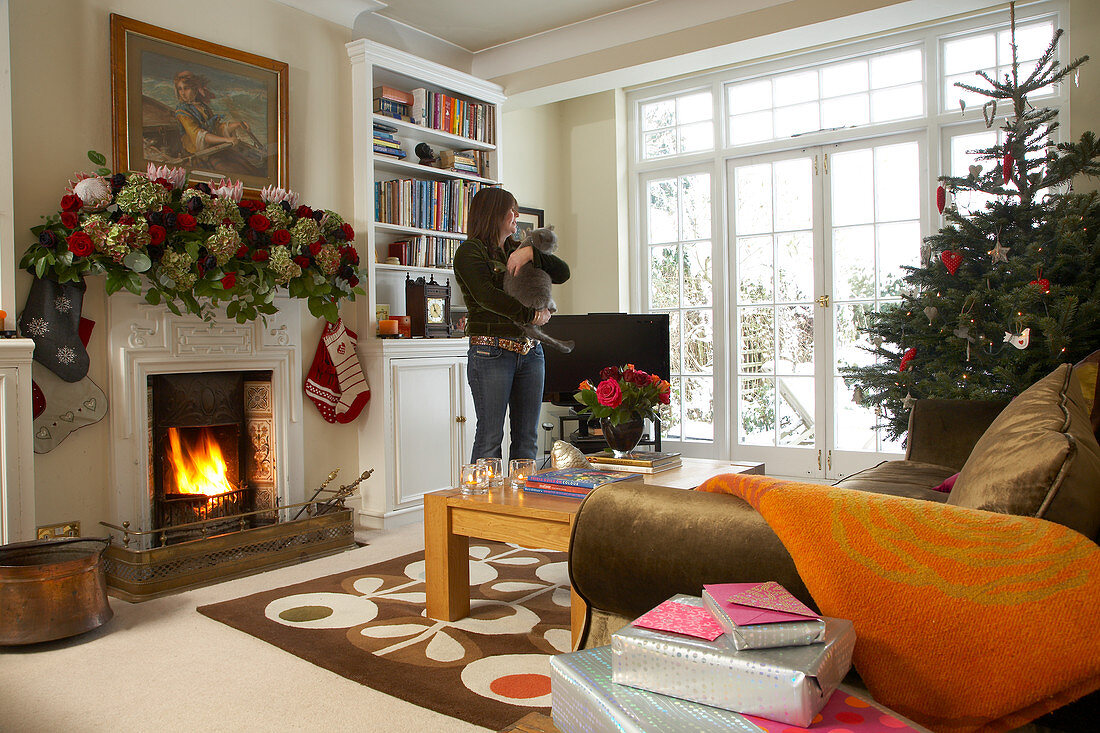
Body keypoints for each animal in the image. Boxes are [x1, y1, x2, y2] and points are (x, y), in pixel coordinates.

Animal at [503, 226, 576, 354]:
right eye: (552, 242)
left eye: (555, 240)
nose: (556, 246)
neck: (531, 241)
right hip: (545, 296)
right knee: (550, 308)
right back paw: (553, 309)